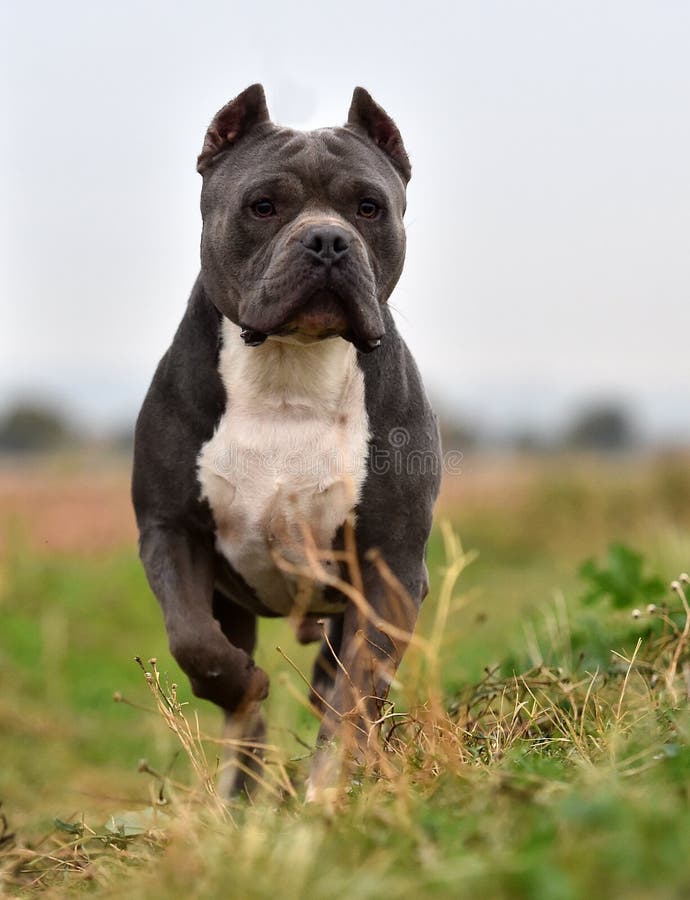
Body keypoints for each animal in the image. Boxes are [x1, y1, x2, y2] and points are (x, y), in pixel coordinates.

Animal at [132, 86, 438, 800]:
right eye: (263, 206)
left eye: (368, 207)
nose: (327, 240)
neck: (289, 371)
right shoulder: (170, 529)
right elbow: (196, 644)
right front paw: (244, 686)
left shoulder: (389, 567)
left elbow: (354, 696)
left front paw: (327, 793)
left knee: (337, 687)